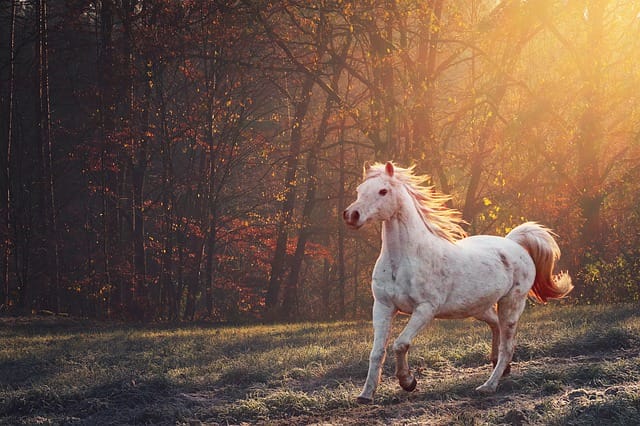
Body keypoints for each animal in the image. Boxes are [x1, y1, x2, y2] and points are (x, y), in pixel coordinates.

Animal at [342, 161, 573, 404]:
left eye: (383, 191)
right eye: (359, 190)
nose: (351, 215)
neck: (404, 259)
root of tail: (514, 244)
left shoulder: (425, 309)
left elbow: (400, 344)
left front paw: (408, 382)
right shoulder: (383, 306)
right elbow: (377, 352)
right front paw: (365, 394)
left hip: (511, 304)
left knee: (507, 347)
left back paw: (488, 386)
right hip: (478, 307)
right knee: (495, 326)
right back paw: (499, 367)